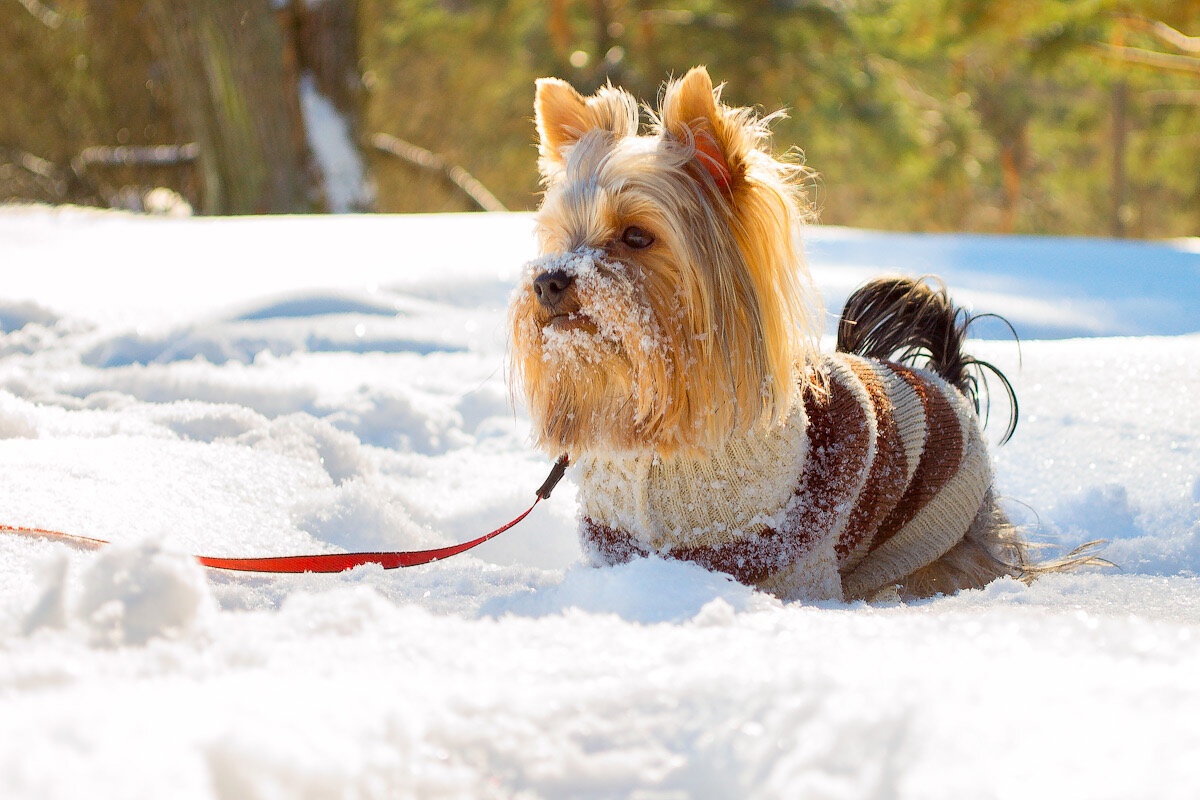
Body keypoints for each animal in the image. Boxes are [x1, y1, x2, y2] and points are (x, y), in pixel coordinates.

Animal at [506, 67, 1080, 599]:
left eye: (637, 236)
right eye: (562, 237)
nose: (548, 280)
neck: (660, 442)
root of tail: (945, 379)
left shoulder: (795, 559)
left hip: (944, 538)